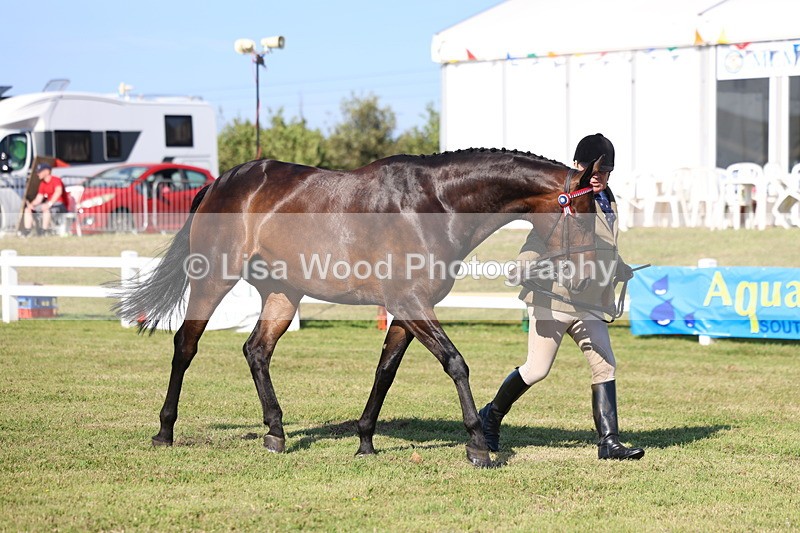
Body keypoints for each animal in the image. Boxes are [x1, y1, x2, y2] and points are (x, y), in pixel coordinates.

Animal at [114, 148, 601, 467]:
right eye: (585, 214)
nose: (587, 278)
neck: (435, 203)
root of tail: (220, 182)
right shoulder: (411, 302)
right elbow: (455, 363)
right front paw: (478, 445)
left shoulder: (407, 308)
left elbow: (385, 371)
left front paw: (365, 440)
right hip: (213, 278)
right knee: (186, 345)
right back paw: (165, 431)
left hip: (282, 293)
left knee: (257, 351)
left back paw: (276, 433)